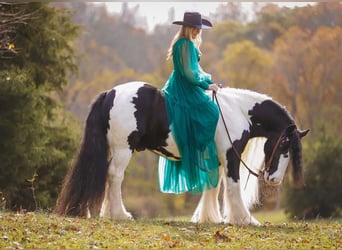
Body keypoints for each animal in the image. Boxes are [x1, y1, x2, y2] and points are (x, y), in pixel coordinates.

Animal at [56, 81, 310, 225]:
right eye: (285, 144)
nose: (273, 179)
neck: (236, 110)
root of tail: (110, 93)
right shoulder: (230, 156)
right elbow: (232, 186)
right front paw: (245, 220)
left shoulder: (216, 159)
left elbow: (213, 186)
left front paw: (209, 218)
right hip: (123, 149)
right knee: (115, 176)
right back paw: (120, 215)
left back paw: (109, 214)